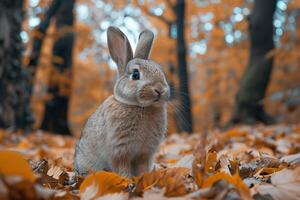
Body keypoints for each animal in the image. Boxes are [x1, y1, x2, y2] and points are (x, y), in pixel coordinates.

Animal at [73, 26, 169, 178]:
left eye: (160, 71)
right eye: (135, 74)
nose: (159, 90)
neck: (140, 106)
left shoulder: (144, 152)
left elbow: (142, 167)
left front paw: (145, 178)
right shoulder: (121, 150)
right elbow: (122, 167)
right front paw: (127, 179)